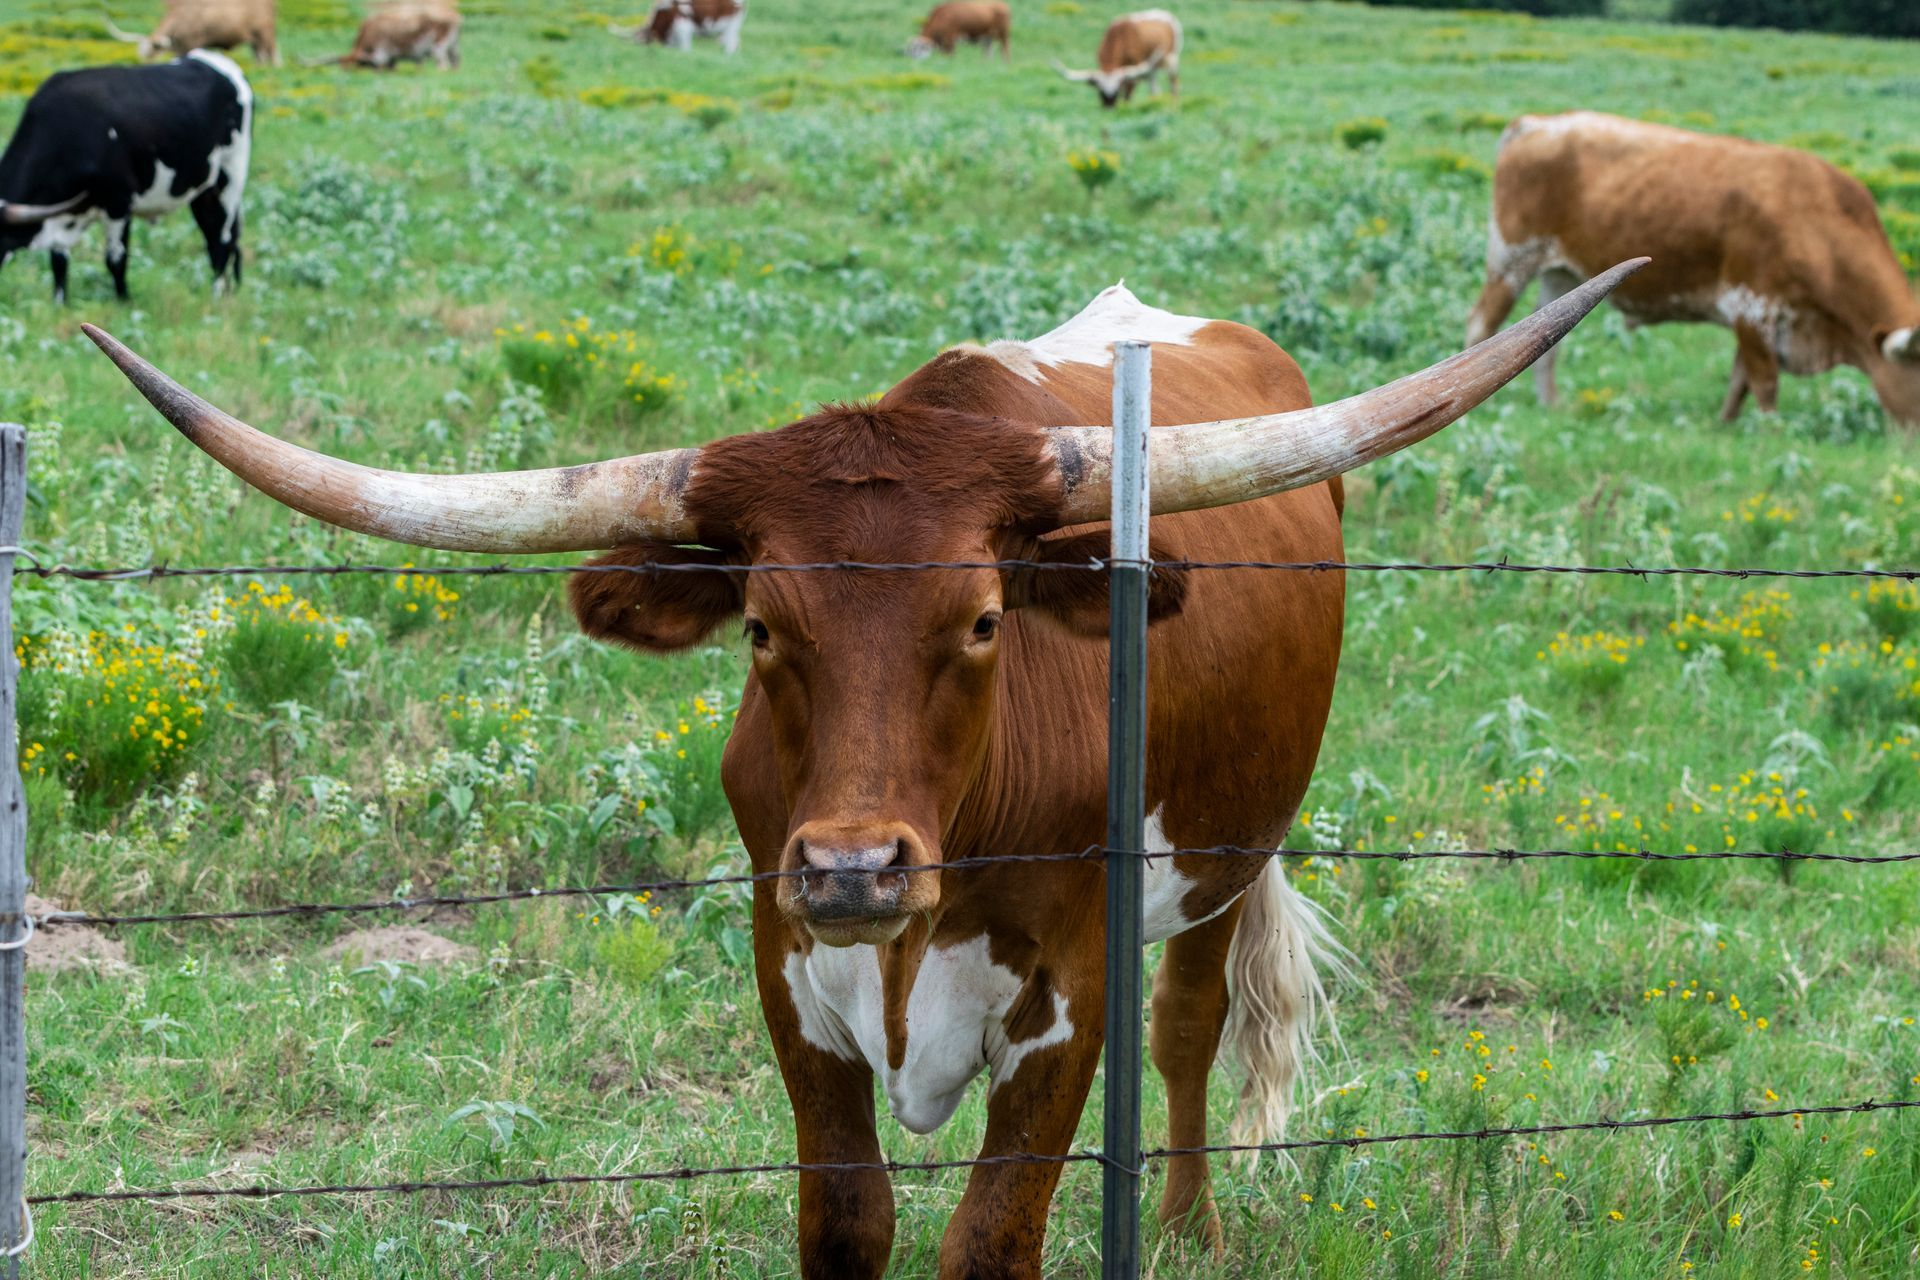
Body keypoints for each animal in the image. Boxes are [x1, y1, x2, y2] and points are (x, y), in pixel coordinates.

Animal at [0, 52, 250, 303]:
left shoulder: (119, 202)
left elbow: (115, 260)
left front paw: (123, 301)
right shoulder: (61, 213)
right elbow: (59, 263)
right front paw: (59, 303)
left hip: (229, 179)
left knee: (221, 242)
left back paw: (215, 297)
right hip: (202, 190)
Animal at [82, 260, 1638, 1277]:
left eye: (987, 619)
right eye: (764, 625)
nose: (852, 869)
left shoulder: (1063, 997)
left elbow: (993, 1232)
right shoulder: (787, 979)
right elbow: (848, 1220)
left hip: (1222, 857)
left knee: (1190, 1028)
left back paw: (1189, 1229)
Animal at [105, 0, 281, 68]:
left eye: (155, 51)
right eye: (142, 55)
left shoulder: (192, 43)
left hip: (265, 33)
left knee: (272, 57)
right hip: (255, 40)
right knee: (260, 58)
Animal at [305, 2, 462, 70]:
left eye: (353, 67)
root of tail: (454, 15)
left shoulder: (382, 55)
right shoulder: (392, 59)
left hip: (438, 47)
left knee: (443, 65)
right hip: (453, 47)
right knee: (455, 63)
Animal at [1468, 112, 1920, 424]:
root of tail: (1537, 123)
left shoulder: (1753, 322)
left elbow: (1739, 382)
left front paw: (1725, 425)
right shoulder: (1752, 307)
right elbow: (1765, 384)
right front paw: (1770, 433)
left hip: (1561, 274)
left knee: (1546, 345)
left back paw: (1553, 406)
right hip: (1511, 261)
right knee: (1482, 325)